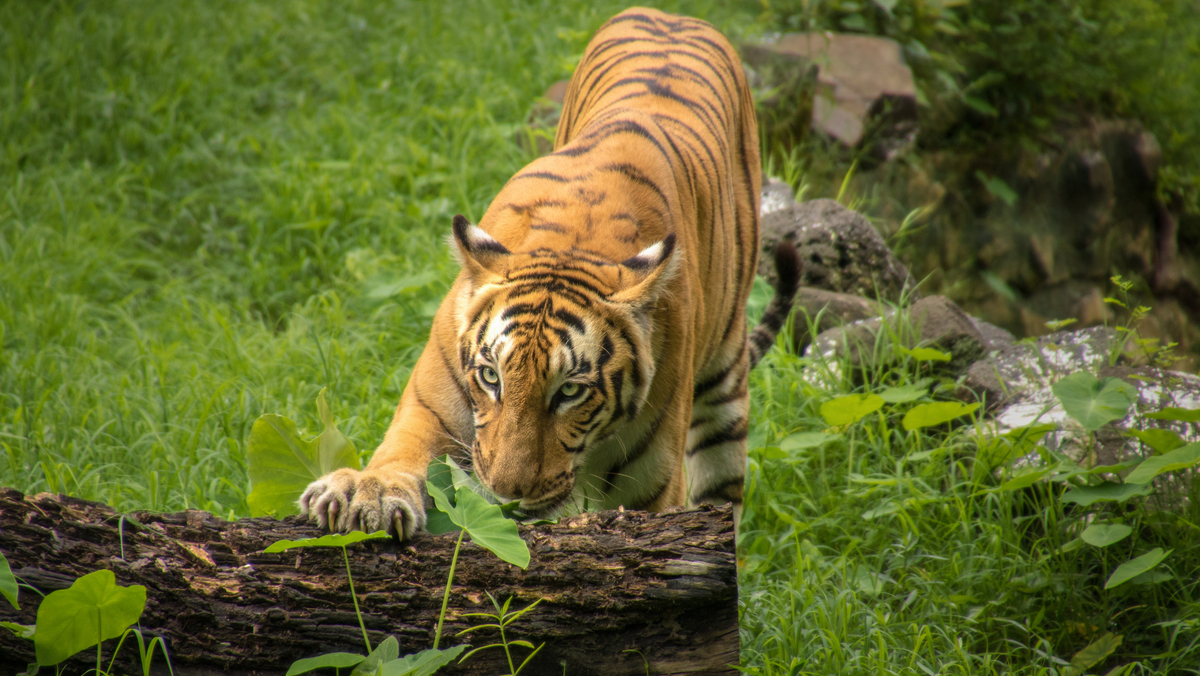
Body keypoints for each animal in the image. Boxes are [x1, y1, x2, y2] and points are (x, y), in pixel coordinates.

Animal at [297, 2, 796, 537]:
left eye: (571, 391)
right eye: (491, 377)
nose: (506, 494)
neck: (572, 242)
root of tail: (669, 15)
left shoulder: (653, 483)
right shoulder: (433, 404)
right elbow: (402, 451)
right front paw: (364, 492)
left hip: (726, 382)